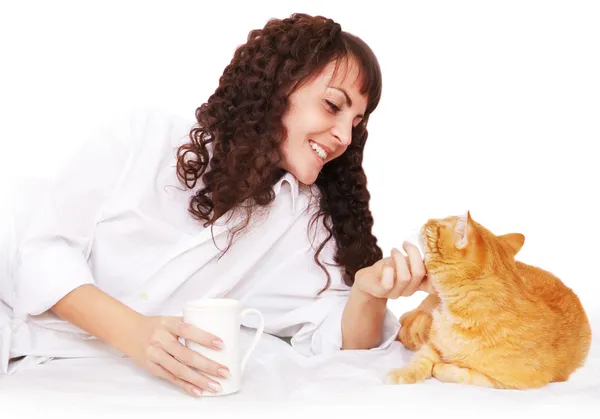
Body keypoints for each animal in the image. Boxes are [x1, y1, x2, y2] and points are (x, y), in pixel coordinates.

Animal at [390, 213, 592, 390]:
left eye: (437, 225)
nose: (428, 219)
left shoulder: (512, 382)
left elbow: (465, 374)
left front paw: (443, 367)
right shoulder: (434, 343)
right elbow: (421, 360)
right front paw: (403, 373)